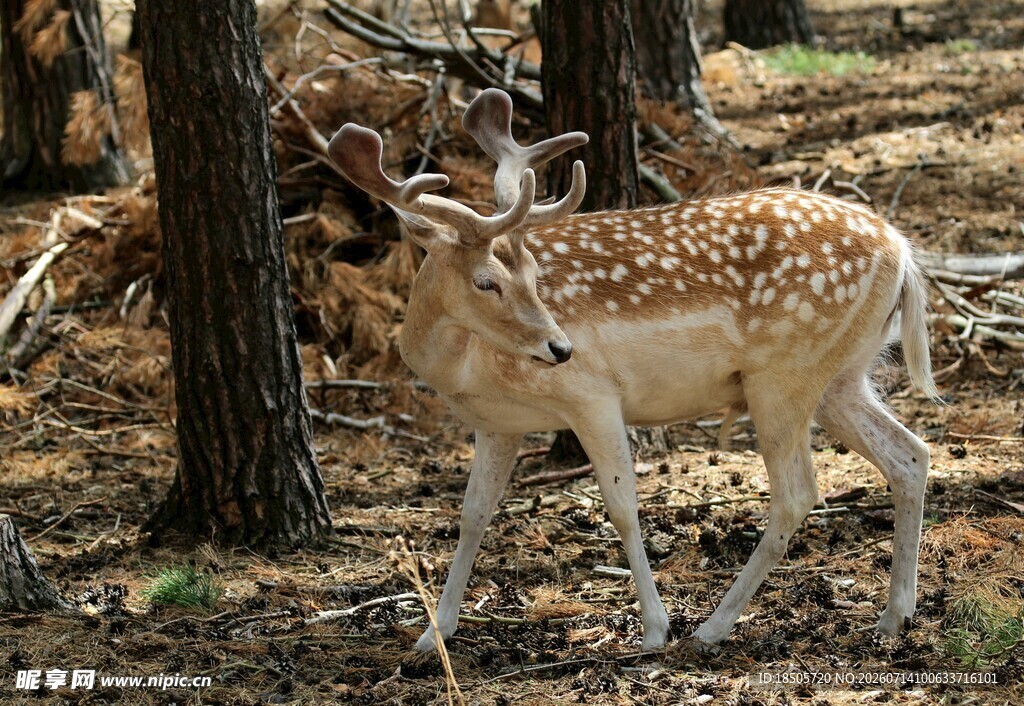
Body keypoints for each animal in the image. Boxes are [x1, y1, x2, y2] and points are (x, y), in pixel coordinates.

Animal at [326, 88, 937, 653]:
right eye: (486, 281)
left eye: (532, 272)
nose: (560, 347)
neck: (466, 369)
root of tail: (904, 253)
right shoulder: (498, 423)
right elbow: (474, 514)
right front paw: (434, 635)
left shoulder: (592, 395)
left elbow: (621, 507)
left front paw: (654, 629)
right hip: (841, 375)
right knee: (910, 454)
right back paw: (894, 615)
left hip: (784, 374)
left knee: (799, 493)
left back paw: (710, 628)